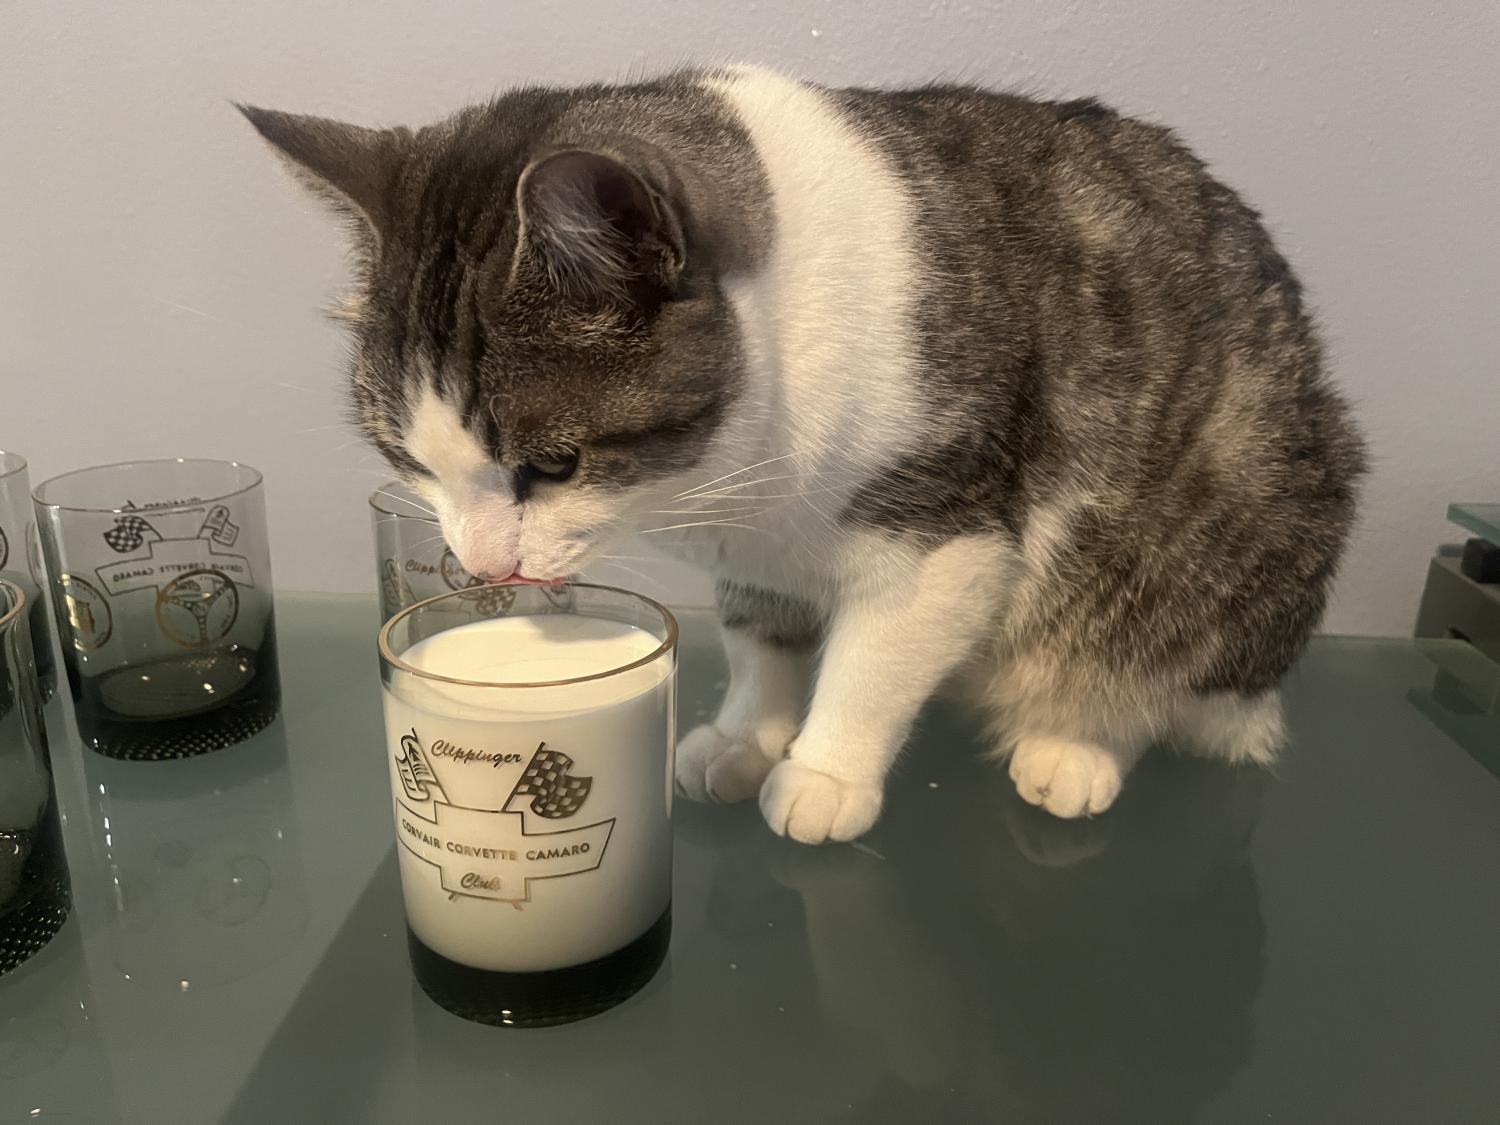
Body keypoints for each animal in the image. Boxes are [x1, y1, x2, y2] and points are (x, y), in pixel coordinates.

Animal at [243, 65, 1364, 844]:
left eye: (553, 465)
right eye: (410, 460)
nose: (484, 567)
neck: (730, 481)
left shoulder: (945, 532)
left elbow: (873, 660)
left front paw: (823, 771)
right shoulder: (751, 552)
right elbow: (760, 638)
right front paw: (750, 734)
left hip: (1233, 507)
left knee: (1168, 668)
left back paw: (1075, 744)